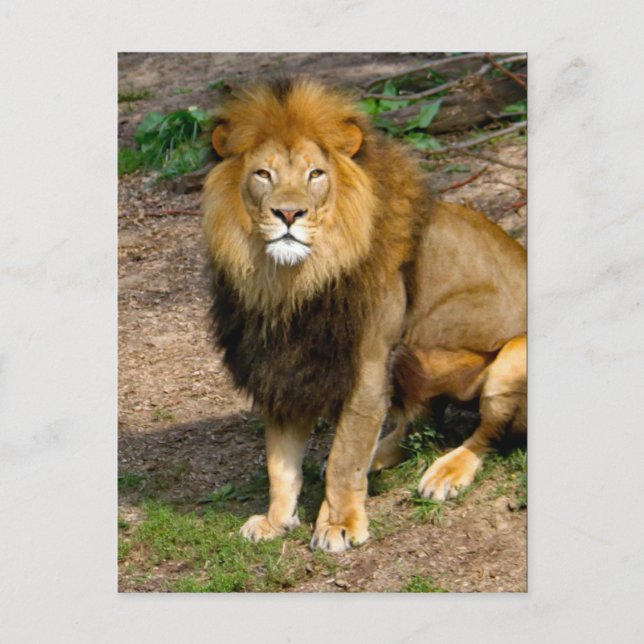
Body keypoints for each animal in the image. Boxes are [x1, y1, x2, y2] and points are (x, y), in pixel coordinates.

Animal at [202, 78, 526, 553]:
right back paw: (385, 456)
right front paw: (276, 520)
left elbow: (344, 456)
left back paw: (447, 472)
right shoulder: (285, 369)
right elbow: (279, 462)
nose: (288, 213)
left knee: (488, 434)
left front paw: (338, 524)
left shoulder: (367, 367)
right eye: (263, 174)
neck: (290, 282)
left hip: (509, 362)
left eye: (315, 174)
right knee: (420, 420)